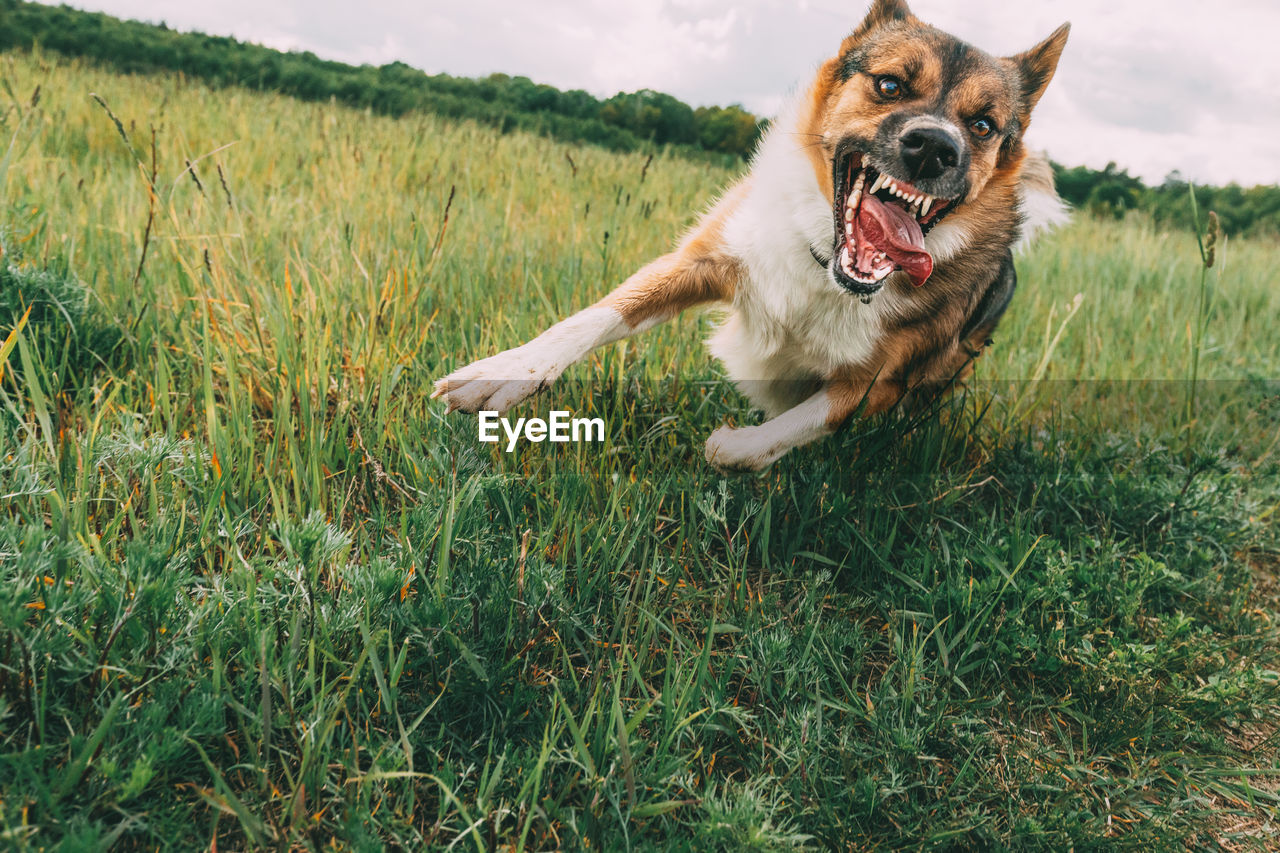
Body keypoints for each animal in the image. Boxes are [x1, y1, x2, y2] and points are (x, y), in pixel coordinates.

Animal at [430, 0, 1070, 471]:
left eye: (982, 125)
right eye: (890, 86)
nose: (936, 147)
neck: (827, 267)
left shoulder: (879, 384)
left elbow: (791, 427)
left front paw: (734, 444)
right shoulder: (703, 260)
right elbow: (595, 317)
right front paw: (500, 375)